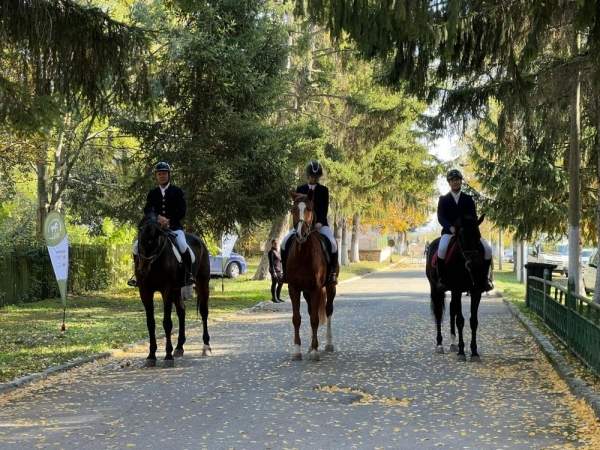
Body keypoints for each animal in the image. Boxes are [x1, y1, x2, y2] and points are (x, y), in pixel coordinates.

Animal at [135, 213, 211, 368]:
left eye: (154, 242)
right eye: (140, 241)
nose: (142, 270)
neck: (155, 263)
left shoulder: (167, 290)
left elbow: (167, 323)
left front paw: (168, 356)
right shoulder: (145, 291)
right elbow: (150, 323)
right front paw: (151, 355)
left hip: (202, 283)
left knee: (204, 312)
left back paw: (206, 346)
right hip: (177, 289)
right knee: (182, 311)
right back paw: (179, 347)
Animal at [286, 192, 338, 360]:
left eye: (309, 209)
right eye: (293, 209)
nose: (300, 234)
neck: (303, 254)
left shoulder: (316, 288)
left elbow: (315, 319)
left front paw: (315, 351)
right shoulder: (294, 289)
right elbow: (297, 319)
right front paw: (297, 350)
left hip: (330, 287)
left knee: (328, 310)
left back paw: (328, 344)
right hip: (307, 292)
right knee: (310, 312)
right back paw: (309, 346)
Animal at [424, 215, 490, 362]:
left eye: (478, 236)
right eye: (461, 237)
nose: (474, 264)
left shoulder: (476, 291)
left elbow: (473, 321)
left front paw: (474, 352)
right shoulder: (457, 289)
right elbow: (460, 320)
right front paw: (462, 352)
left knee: (451, 309)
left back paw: (453, 343)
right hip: (436, 289)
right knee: (439, 313)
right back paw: (440, 345)